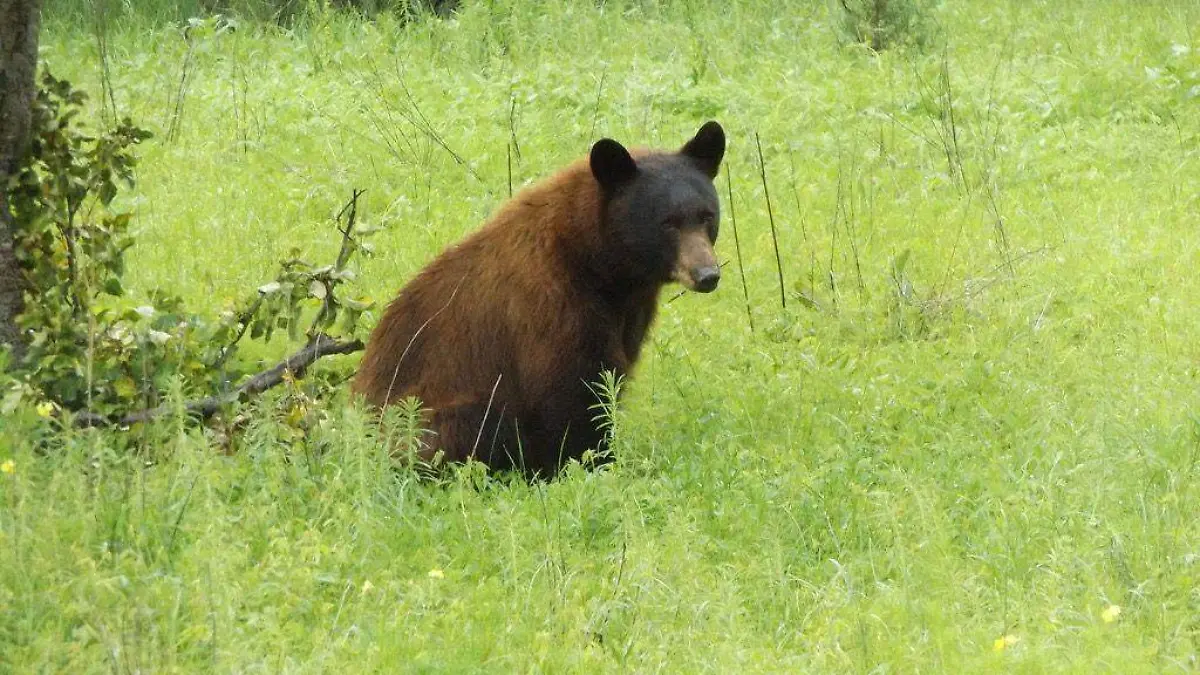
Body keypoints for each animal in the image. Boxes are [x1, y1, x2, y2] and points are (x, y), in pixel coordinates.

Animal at [353, 121, 726, 477]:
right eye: (667, 223)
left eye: (706, 215)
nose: (707, 274)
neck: (596, 262)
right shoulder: (552, 308)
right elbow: (572, 393)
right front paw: (590, 465)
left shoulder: (628, 313)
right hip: (429, 415)